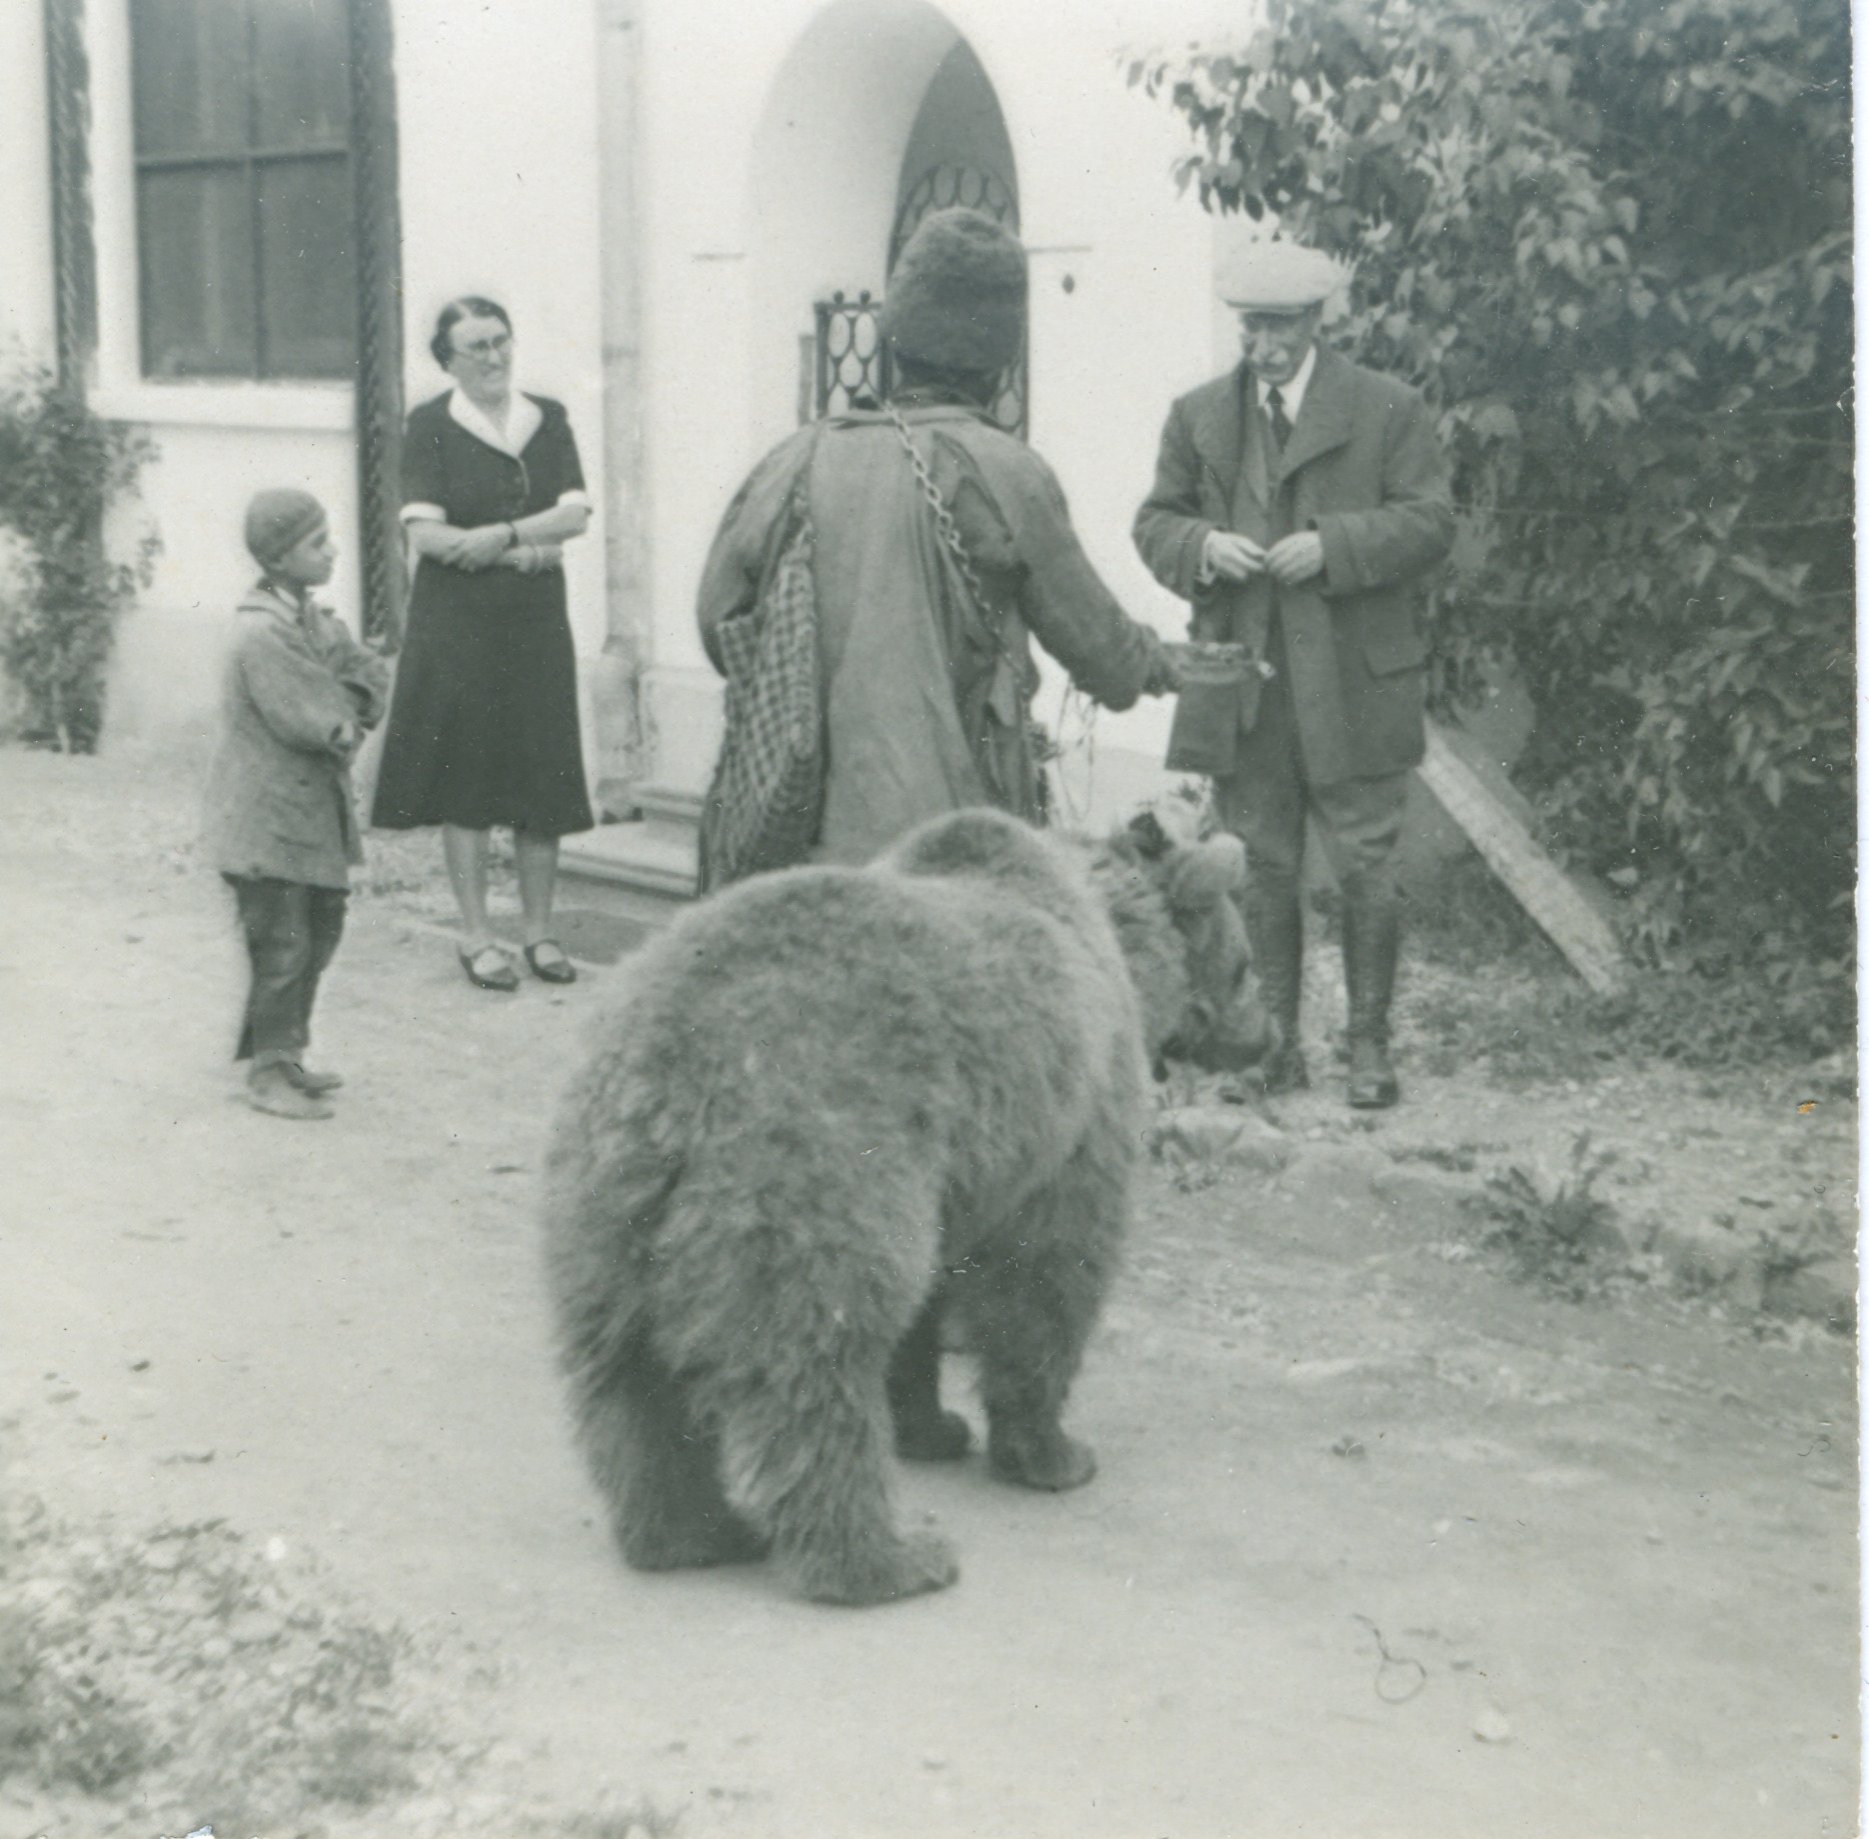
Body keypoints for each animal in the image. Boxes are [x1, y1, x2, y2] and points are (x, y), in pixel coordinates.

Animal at [545, 811, 1270, 1599]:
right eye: (1242, 964)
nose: (1266, 1038)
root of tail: (669, 1073)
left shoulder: (951, 1172)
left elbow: (930, 1301)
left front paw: (933, 1425)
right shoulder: (1068, 1123)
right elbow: (1047, 1283)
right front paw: (1054, 1452)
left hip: (609, 1212)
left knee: (628, 1372)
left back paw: (691, 1531)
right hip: (815, 1155)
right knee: (815, 1354)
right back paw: (885, 1556)